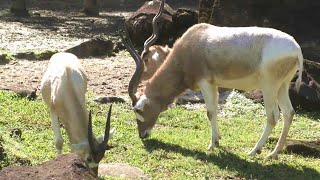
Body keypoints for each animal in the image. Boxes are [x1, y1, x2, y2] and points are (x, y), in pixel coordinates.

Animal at [122, 0, 302, 159]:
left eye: (137, 110)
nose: (142, 135)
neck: (192, 43)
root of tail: (296, 49)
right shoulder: (214, 85)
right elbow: (215, 110)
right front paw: (218, 140)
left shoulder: (205, 83)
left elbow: (210, 112)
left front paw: (212, 145)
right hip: (282, 86)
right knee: (288, 112)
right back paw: (273, 153)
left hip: (269, 87)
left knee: (273, 116)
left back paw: (254, 151)